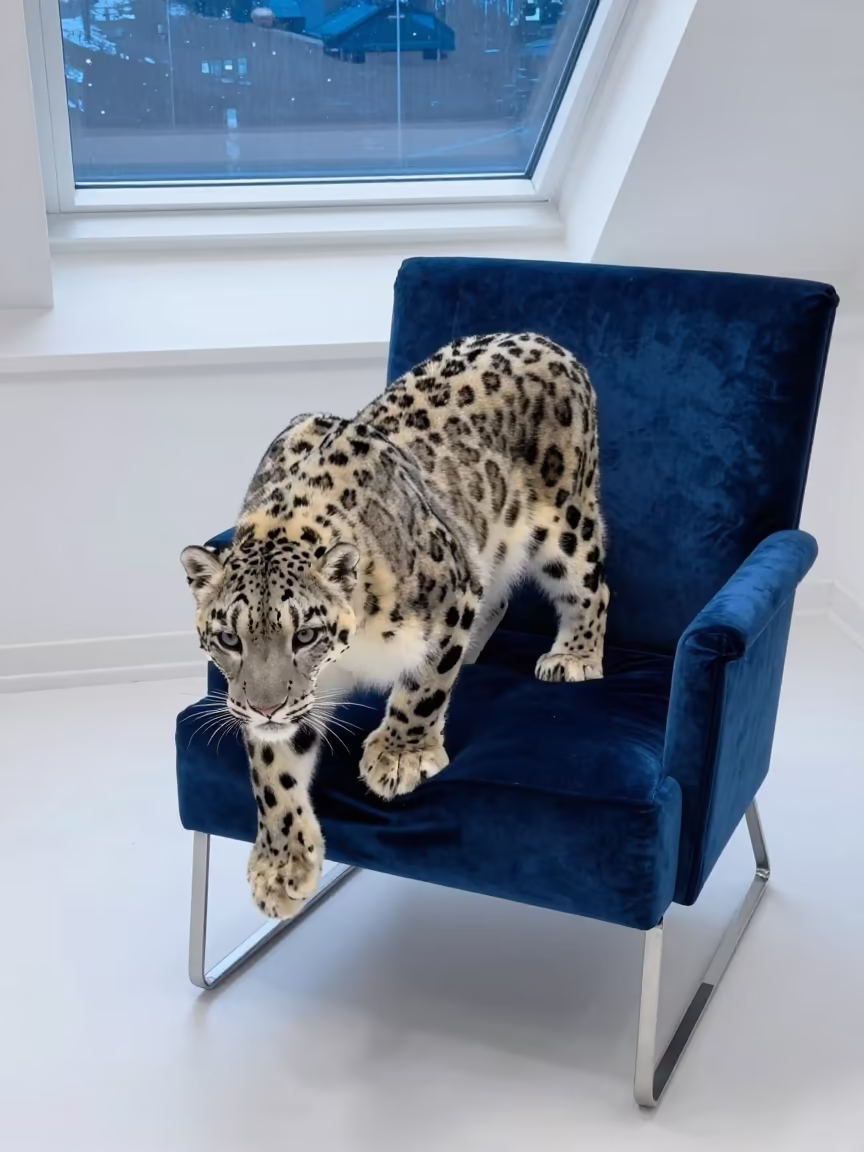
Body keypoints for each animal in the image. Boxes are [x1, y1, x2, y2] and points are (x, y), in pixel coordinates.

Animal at [181, 332, 609, 919]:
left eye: (305, 634)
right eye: (229, 638)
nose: (265, 707)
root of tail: (544, 339)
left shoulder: (451, 596)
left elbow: (423, 687)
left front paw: (400, 757)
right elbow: (272, 768)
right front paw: (282, 867)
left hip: (567, 523)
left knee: (591, 586)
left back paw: (573, 656)